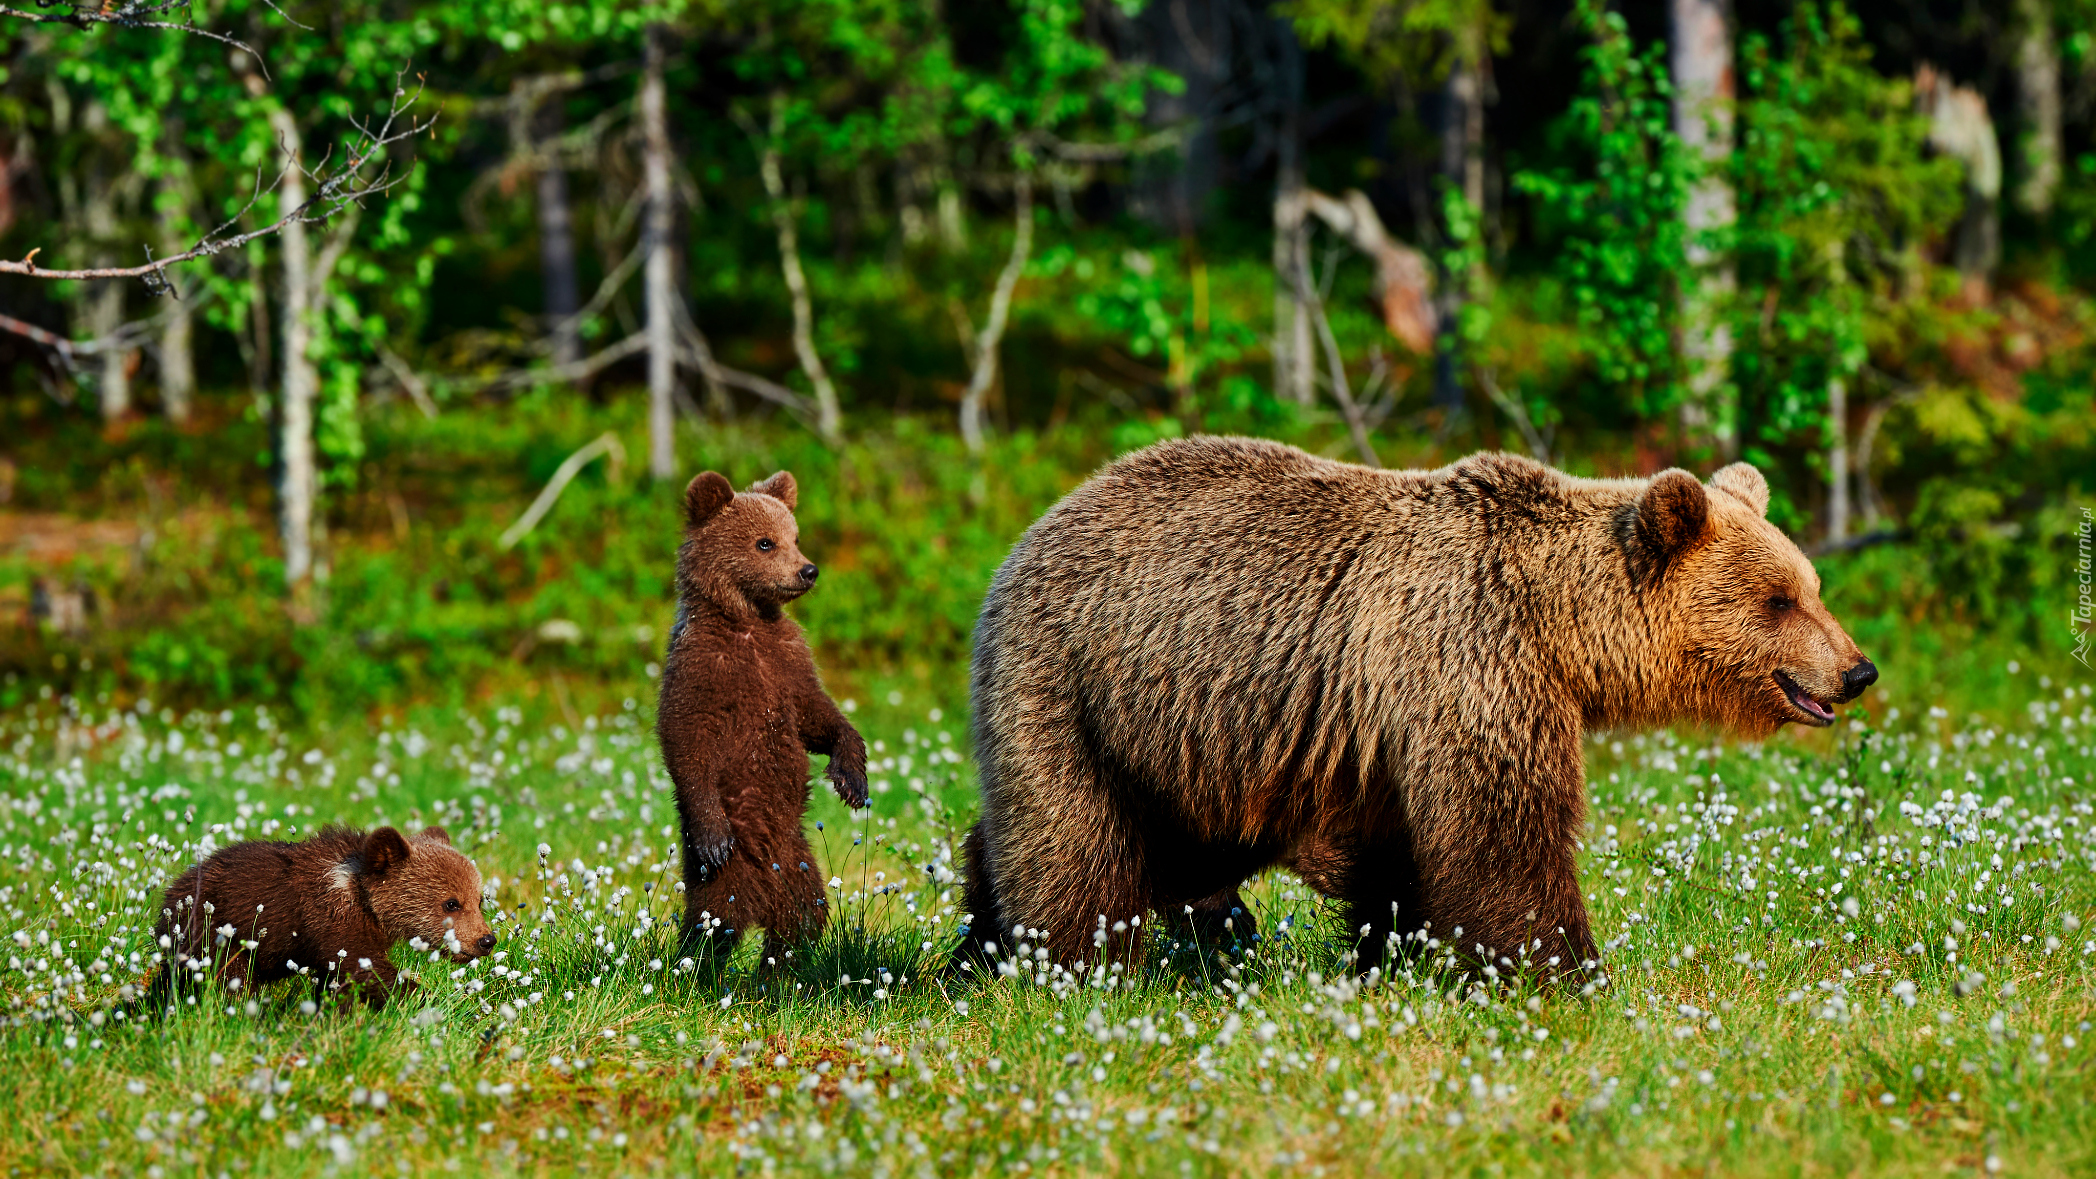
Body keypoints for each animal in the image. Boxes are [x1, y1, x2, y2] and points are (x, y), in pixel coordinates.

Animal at [959, 438, 1878, 973]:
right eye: (1778, 600)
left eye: (1812, 585)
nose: (1857, 669)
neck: (1556, 623)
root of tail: (1033, 529)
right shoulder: (1467, 657)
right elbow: (1503, 830)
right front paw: (1568, 972)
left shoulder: (1384, 725)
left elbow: (1401, 851)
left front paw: (1395, 954)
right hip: (1076, 684)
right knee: (1073, 839)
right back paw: (1063, 962)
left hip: (1191, 740)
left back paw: (978, 939)